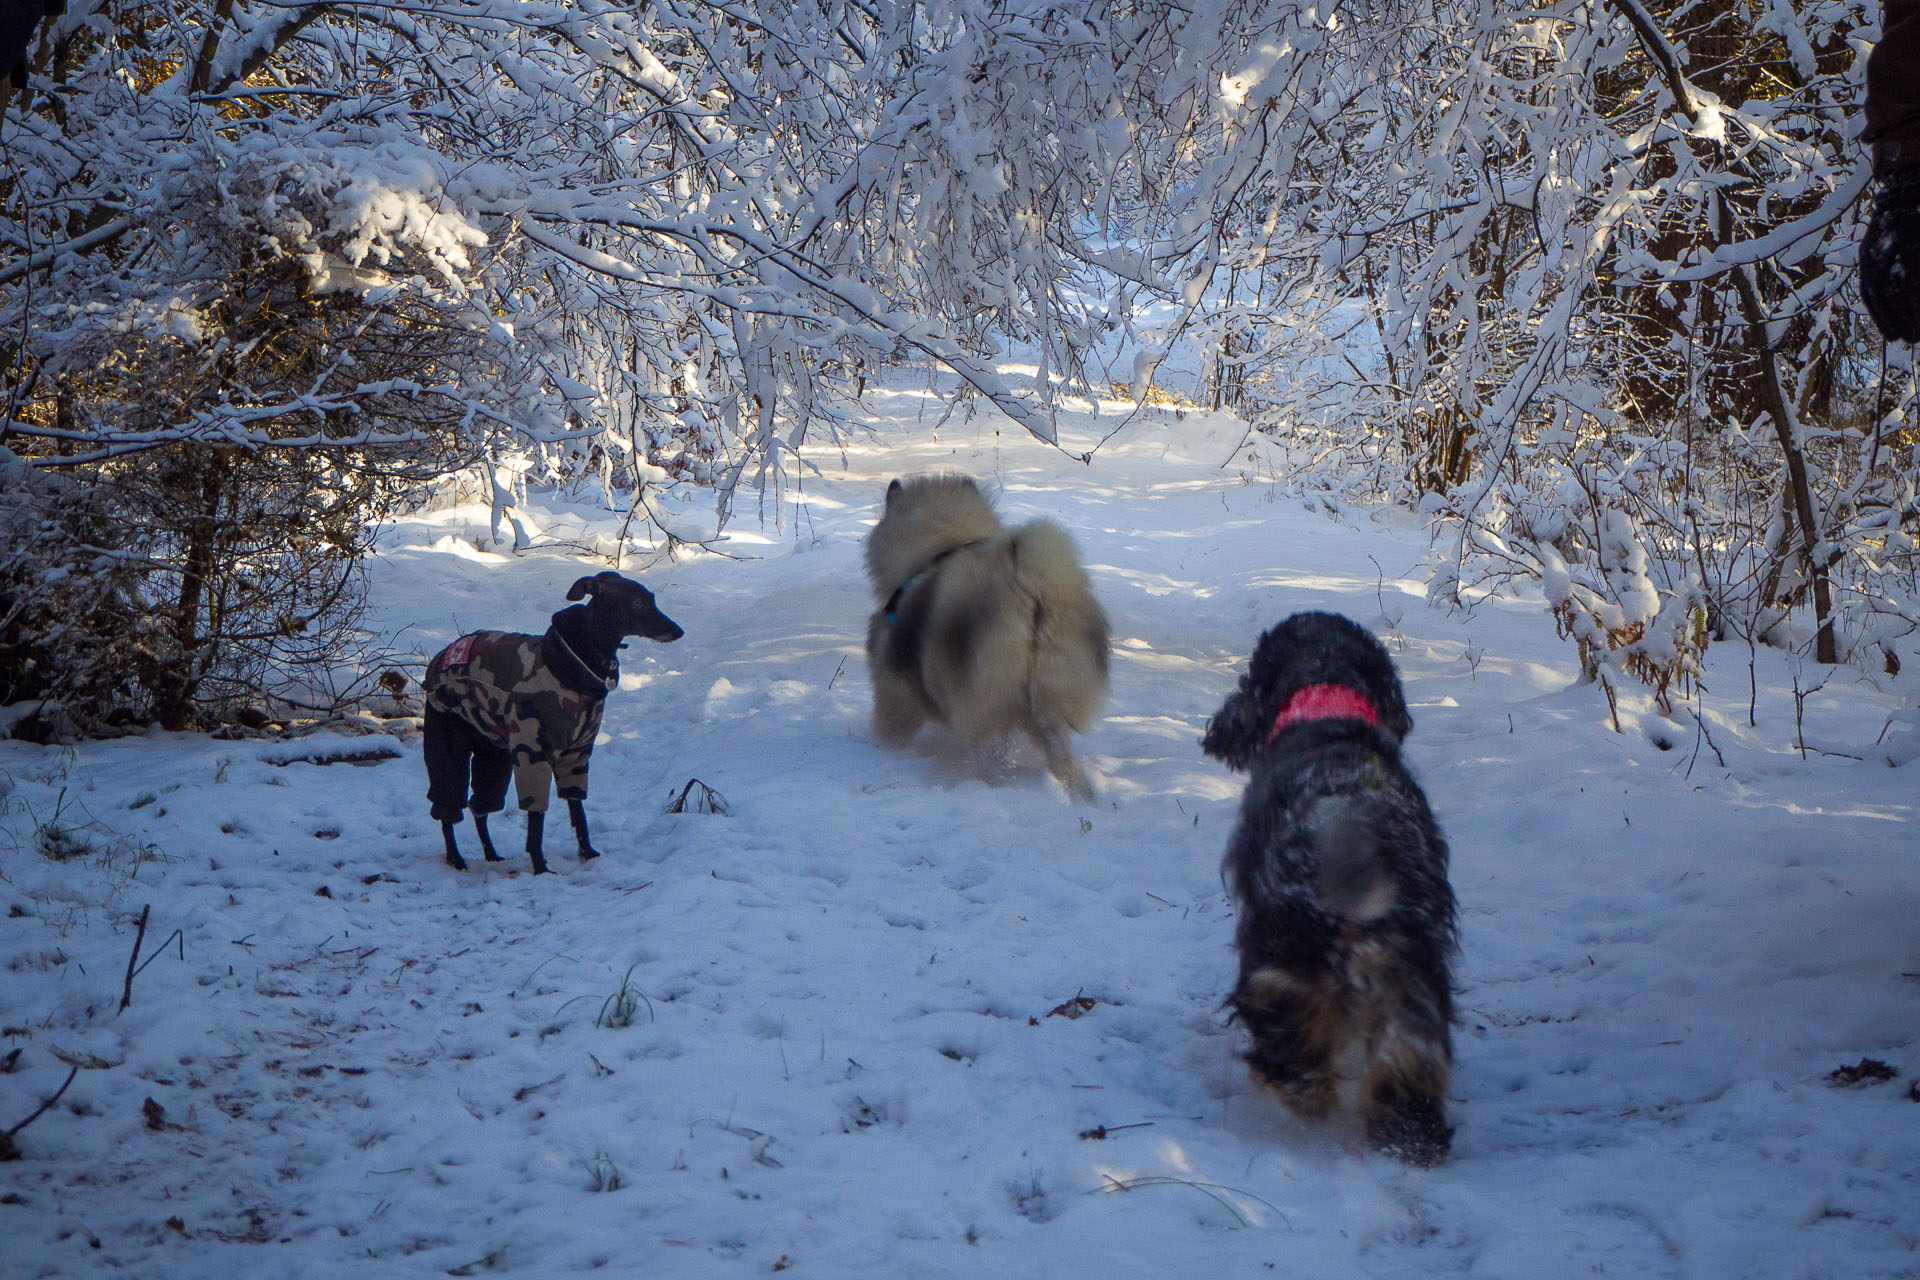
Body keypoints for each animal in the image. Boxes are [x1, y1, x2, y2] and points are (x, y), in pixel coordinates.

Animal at [422, 571, 683, 871]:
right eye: (638, 603)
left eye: (651, 599)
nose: (678, 631)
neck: (578, 659)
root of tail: (439, 659)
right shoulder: (534, 754)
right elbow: (536, 821)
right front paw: (540, 868)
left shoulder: (577, 755)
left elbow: (578, 812)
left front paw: (587, 853)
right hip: (448, 740)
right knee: (447, 807)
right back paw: (455, 858)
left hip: (494, 755)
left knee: (480, 807)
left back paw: (491, 854)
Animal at [1198, 614, 1451, 1166]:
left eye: (1252, 676)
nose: (1216, 730)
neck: (1326, 705)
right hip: (1411, 962)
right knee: (1411, 1046)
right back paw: (1409, 1130)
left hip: (1280, 945)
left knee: (1283, 1014)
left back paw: (1299, 1085)